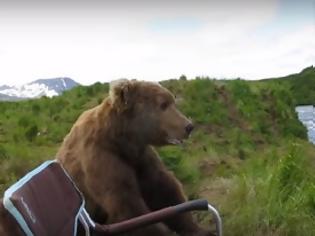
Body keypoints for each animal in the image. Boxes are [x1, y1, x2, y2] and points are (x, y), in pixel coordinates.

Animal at [56, 80, 212, 235]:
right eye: (163, 104)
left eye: (173, 102)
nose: (188, 126)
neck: (122, 139)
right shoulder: (102, 159)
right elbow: (129, 206)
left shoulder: (141, 157)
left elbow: (164, 190)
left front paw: (197, 228)